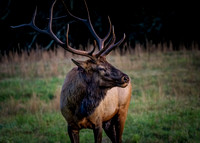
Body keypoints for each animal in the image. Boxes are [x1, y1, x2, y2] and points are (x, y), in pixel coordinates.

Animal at [11, 0, 132, 142]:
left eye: (109, 63)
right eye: (101, 68)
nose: (125, 77)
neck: (80, 111)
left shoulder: (98, 122)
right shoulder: (70, 125)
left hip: (122, 110)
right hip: (109, 120)